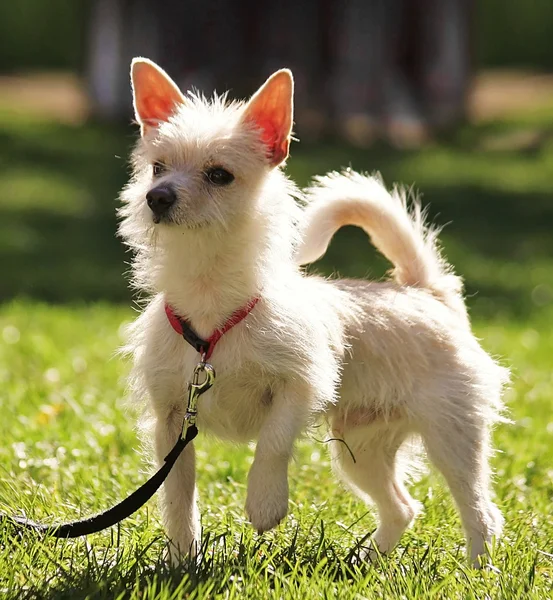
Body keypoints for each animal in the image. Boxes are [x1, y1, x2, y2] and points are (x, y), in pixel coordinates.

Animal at [118, 57, 506, 568]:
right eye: (157, 168)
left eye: (219, 175)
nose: (157, 196)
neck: (212, 302)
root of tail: (424, 291)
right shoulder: (172, 424)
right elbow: (178, 500)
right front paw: (183, 563)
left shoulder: (302, 385)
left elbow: (273, 442)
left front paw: (265, 503)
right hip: (362, 449)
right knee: (403, 507)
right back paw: (367, 564)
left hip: (452, 436)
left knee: (480, 510)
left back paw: (478, 569)